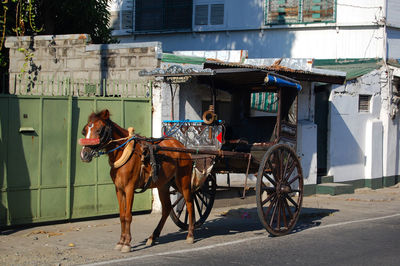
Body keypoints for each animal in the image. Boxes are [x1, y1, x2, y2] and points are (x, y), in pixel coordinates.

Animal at [79, 109, 195, 252]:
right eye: (84, 130)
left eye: (99, 130)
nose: (84, 154)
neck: (124, 152)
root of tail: (182, 147)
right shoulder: (119, 189)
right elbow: (122, 216)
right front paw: (121, 241)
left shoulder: (129, 188)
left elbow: (128, 215)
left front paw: (127, 243)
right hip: (163, 185)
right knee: (167, 208)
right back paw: (153, 236)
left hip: (183, 182)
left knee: (190, 203)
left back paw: (190, 235)